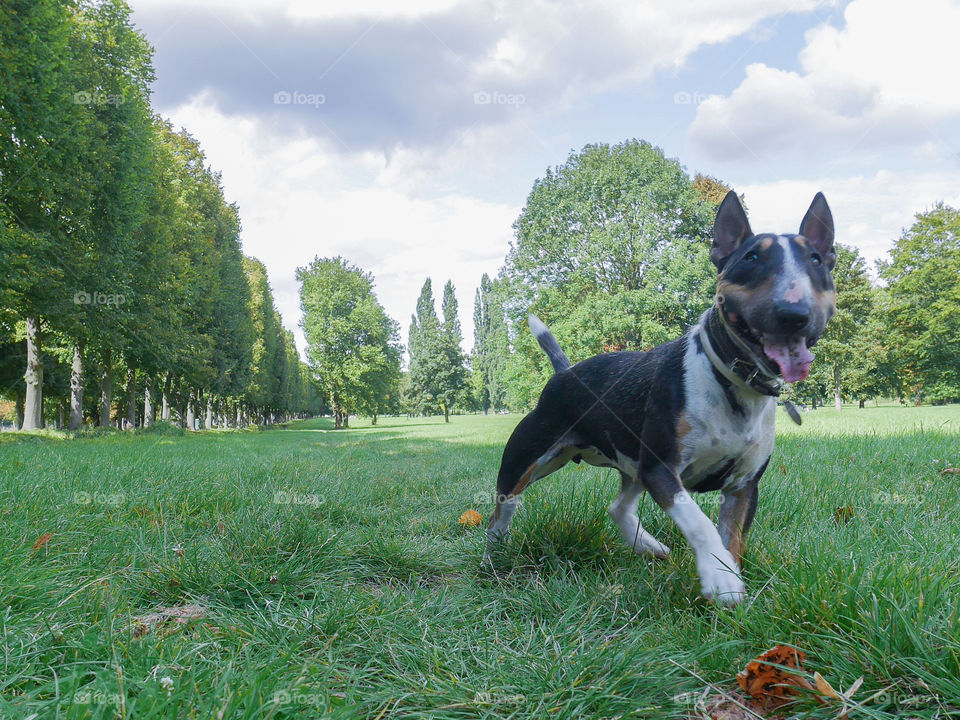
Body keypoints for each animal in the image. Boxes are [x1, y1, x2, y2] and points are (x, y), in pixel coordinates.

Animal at [484, 190, 836, 600]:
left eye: (816, 260)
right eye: (751, 258)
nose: (794, 312)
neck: (730, 380)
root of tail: (564, 373)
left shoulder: (744, 485)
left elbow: (732, 540)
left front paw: (729, 580)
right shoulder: (661, 468)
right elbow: (698, 521)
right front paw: (719, 579)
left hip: (631, 464)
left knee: (618, 508)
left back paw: (648, 546)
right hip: (529, 458)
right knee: (502, 509)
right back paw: (493, 557)